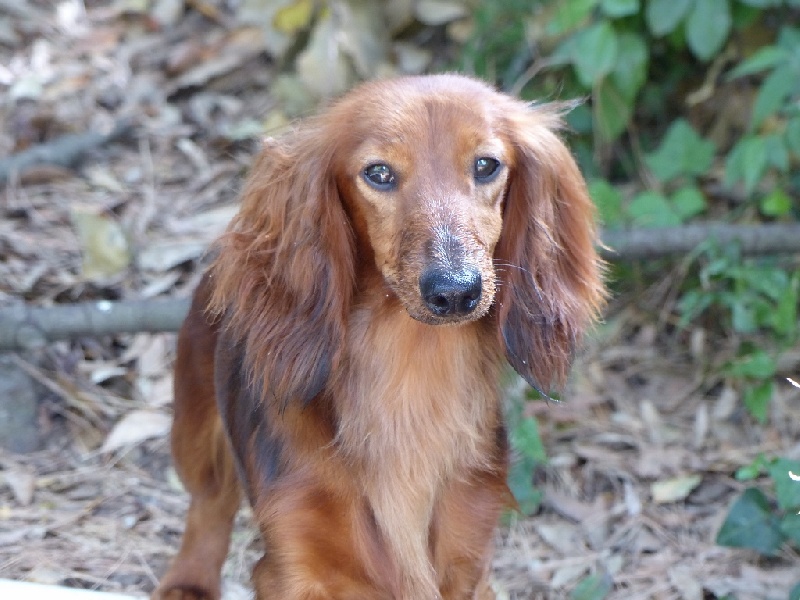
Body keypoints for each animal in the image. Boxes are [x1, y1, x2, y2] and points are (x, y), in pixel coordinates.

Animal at [153, 74, 608, 600]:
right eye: (379, 173)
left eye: (486, 165)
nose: (456, 290)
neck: (409, 371)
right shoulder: (295, 565)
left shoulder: (466, 560)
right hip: (194, 425)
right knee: (207, 504)